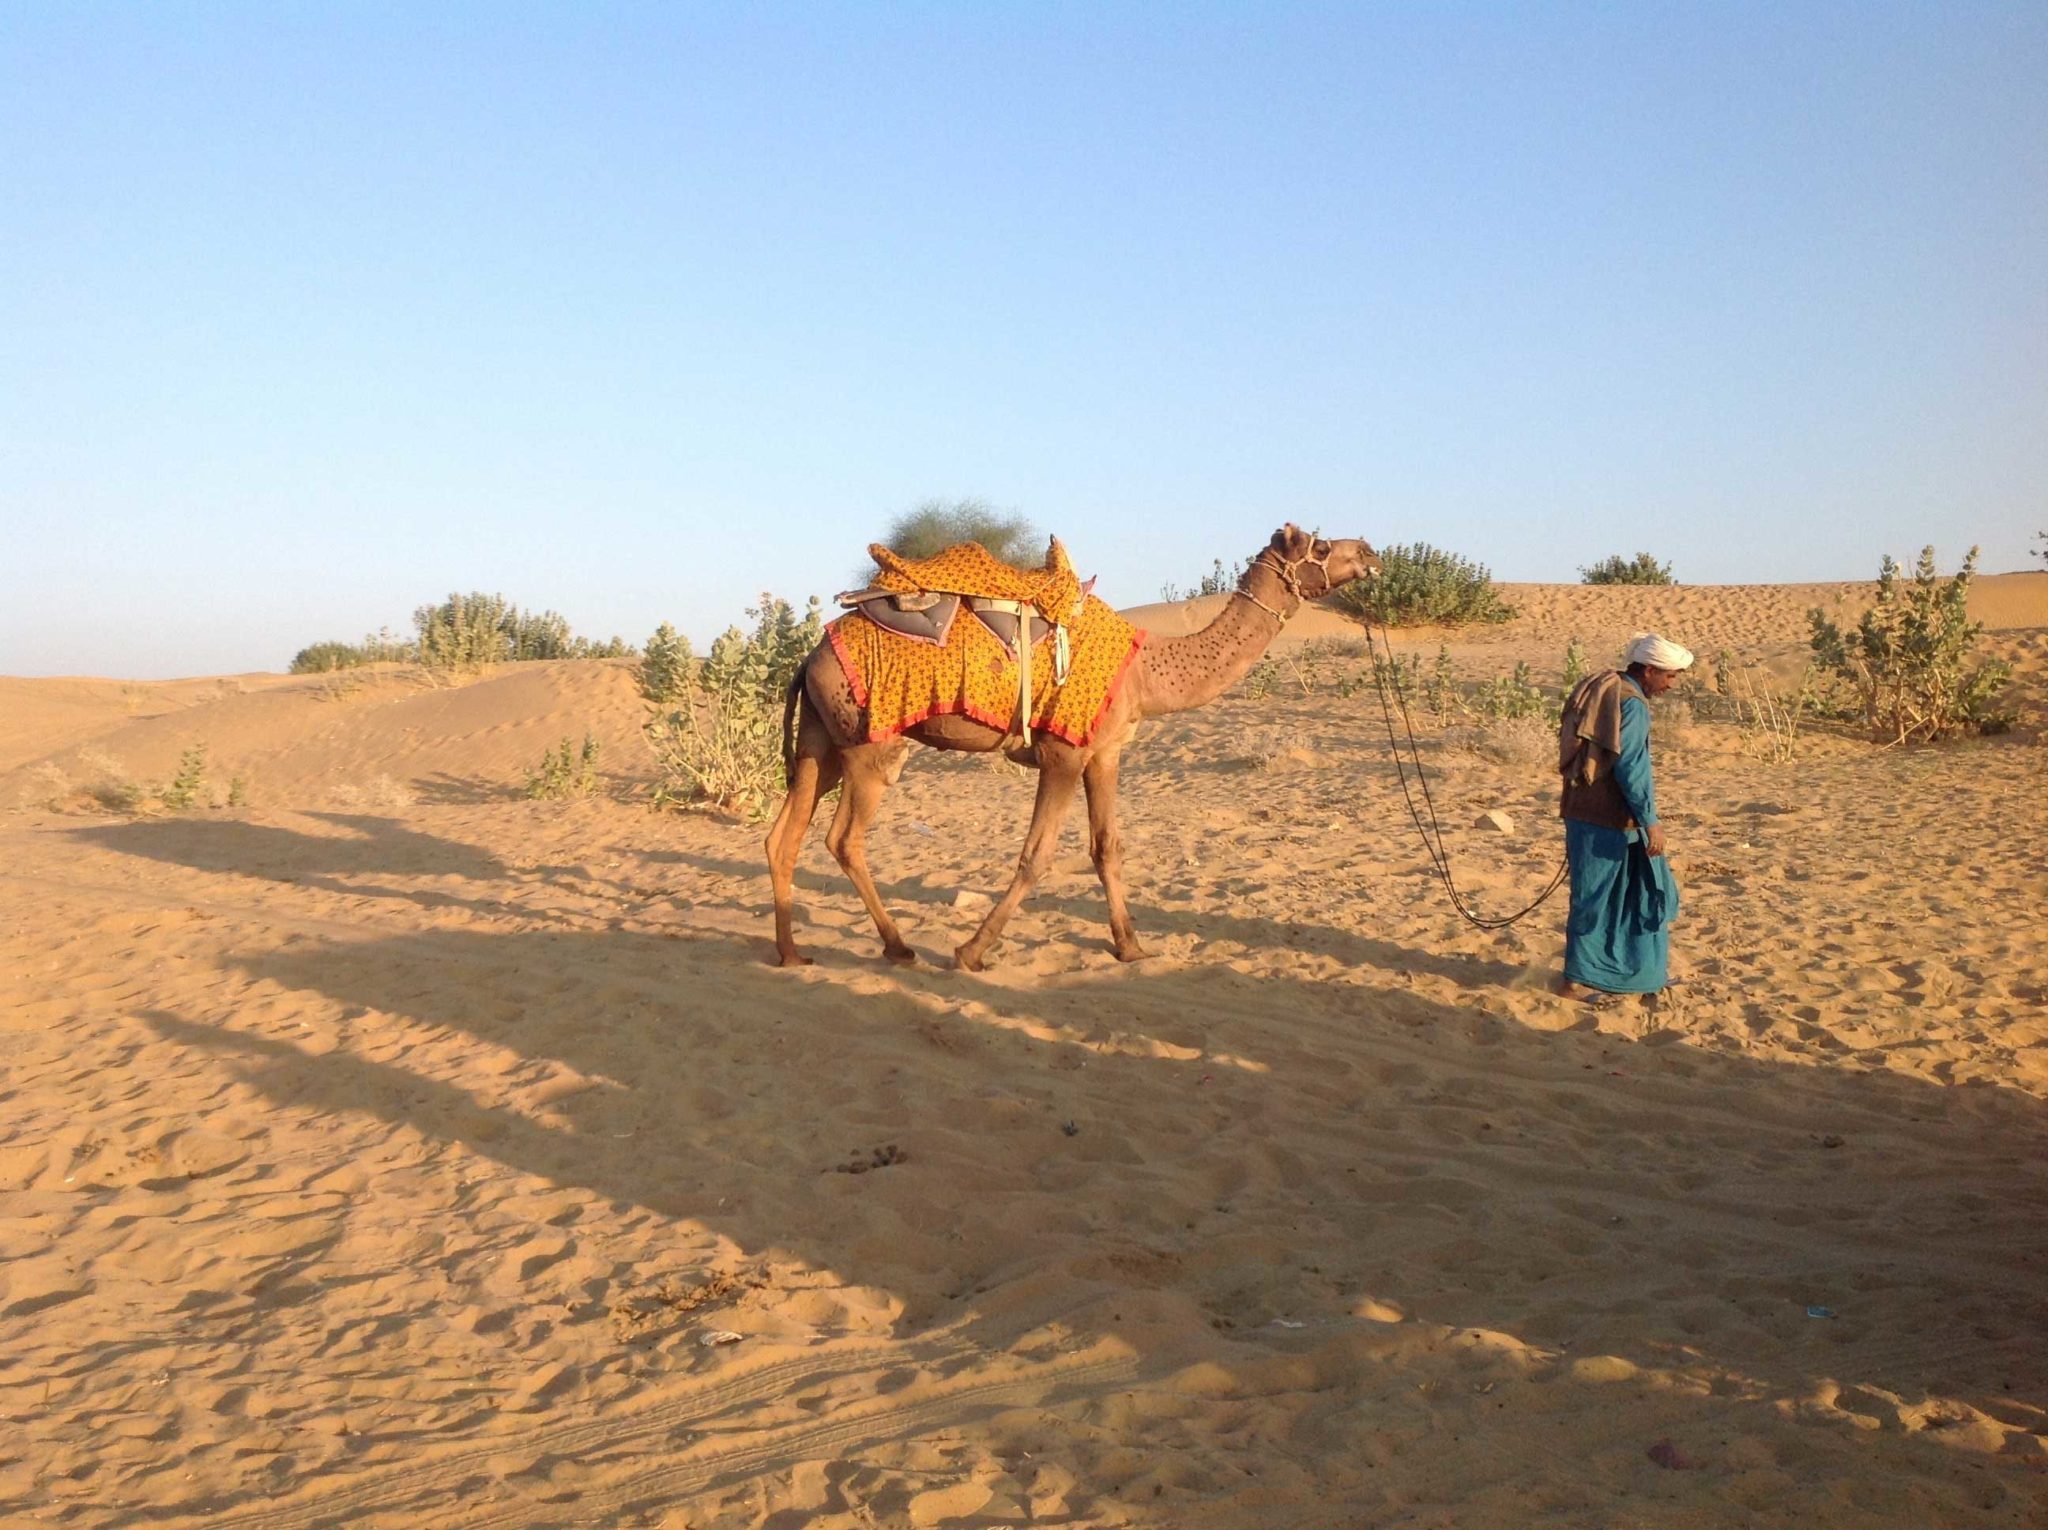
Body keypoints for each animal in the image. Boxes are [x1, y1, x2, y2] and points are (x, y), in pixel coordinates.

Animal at [761, 528, 1384, 970]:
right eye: (1322, 545)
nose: (1370, 550)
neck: (1148, 668)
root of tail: (809, 656)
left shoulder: (1104, 752)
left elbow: (1107, 848)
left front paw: (1130, 947)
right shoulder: (1061, 752)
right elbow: (1036, 856)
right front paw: (971, 952)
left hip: (821, 742)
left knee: (782, 836)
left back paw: (792, 953)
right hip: (871, 745)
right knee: (844, 839)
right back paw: (897, 947)